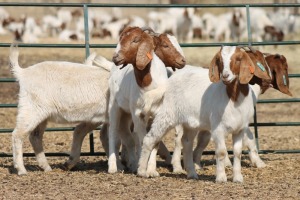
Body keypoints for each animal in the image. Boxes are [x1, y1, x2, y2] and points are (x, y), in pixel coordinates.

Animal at [9, 44, 110, 175]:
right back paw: (21, 169)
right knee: (17, 135)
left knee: (35, 136)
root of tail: (23, 73)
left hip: (41, 114)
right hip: (31, 109)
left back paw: (46, 167)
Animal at [138, 45, 272, 183]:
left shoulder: (240, 129)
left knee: (186, 142)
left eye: (239, 59)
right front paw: (221, 178)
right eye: (220, 60)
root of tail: (168, 83)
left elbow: (237, 153)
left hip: (190, 123)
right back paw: (142, 171)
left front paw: (238, 178)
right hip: (167, 115)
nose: (225, 75)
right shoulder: (218, 128)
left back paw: (192, 173)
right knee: (149, 139)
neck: (233, 98)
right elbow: (221, 152)